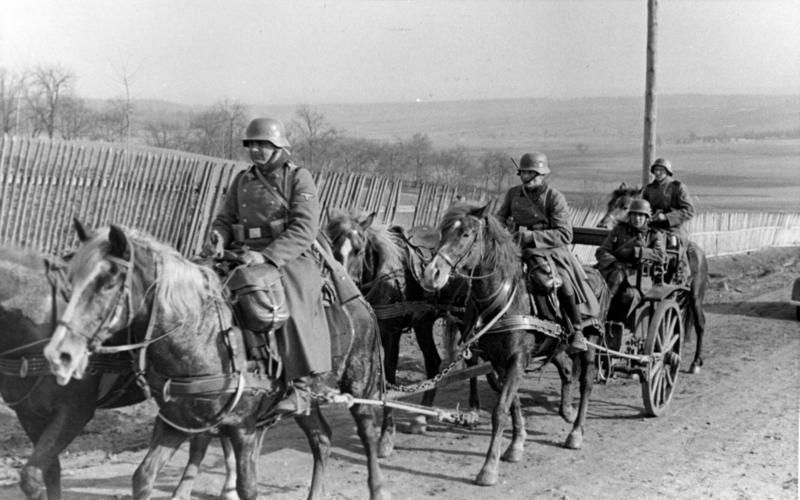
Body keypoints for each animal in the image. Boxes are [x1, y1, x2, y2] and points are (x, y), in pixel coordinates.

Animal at [43, 224, 388, 500]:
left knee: (368, 432)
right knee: (322, 439)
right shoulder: (175, 421)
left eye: (109, 283)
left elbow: (248, 487)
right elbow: (144, 476)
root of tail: (360, 301)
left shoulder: (243, 429)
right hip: (309, 402)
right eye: (70, 280)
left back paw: (377, 486)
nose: (60, 354)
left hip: (362, 385)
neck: (201, 333)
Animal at [418, 202, 608, 484]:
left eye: (466, 234)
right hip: (554, 347)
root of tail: (597, 274)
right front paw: (516, 444)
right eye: (443, 233)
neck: (506, 300)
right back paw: (566, 410)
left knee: (586, 382)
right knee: (565, 369)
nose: (432, 275)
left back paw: (576, 432)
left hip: (591, 342)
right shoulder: (501, 361)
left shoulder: (517, 359)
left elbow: (500, 410)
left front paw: (488, 469)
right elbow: (512, 402)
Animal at [596, 182, 708, 374]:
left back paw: (696, 362)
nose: (602, 225)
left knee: (700, 324)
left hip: (695, 297)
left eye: (625, 206)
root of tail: (700, 252)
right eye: (609, 204)